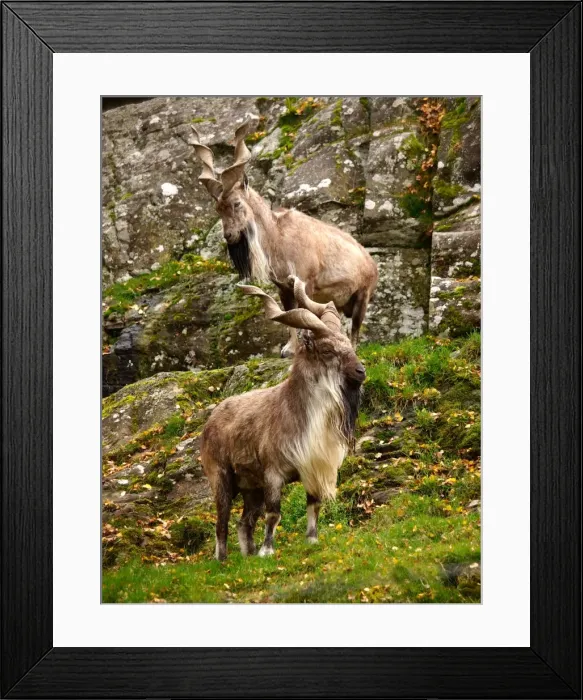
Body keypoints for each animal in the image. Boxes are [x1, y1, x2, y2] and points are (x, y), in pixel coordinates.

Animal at [191, 120, 378, 351]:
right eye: (218, 209)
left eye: (236, 203)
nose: (230, 235)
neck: (278, 238)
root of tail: (372, 264)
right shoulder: (283, 288)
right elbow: (290, 316)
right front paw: (289, 349)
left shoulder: (305, 283)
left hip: (362, 296)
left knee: (355, 330)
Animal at [199, 276, 365, 560]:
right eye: (327, 349)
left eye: (347, 343)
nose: (361, 371)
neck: (295, 412)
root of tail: (210, 421)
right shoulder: (273, 474)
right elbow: (274, 514)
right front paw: (267, 551)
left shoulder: (311, 470)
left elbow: (313, 506)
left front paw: (312, 540)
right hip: (221, 477)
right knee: (222, 523)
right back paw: (222, 559)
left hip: (251, 488)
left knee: (244, 522)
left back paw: (248, 555)